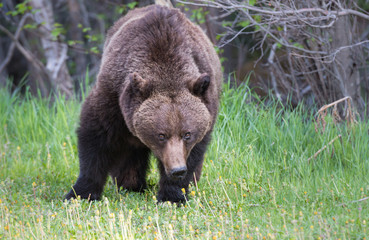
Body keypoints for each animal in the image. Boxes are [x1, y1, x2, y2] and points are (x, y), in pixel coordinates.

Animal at [64, 4, 221, 202]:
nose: (177, 170)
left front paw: (173, 195)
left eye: (187, 134)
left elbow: (194, 153)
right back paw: (131, 184)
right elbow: (96, 138)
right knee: (129, 152)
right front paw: (81, 193)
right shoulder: (113, 96)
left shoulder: (207, 110)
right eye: (161, 135)